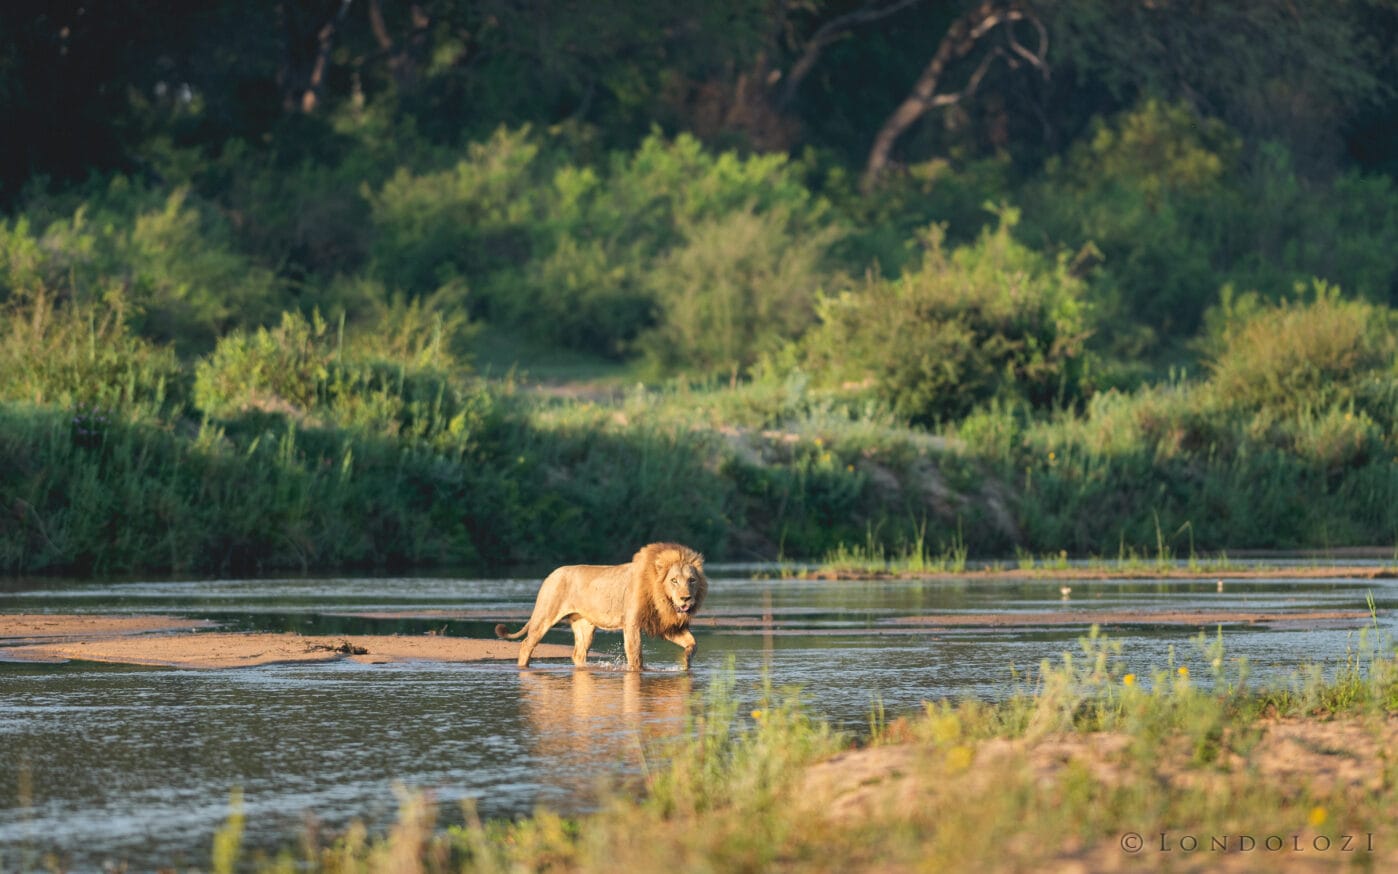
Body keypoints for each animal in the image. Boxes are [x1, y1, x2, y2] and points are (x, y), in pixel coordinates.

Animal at [494, 542, 710, 671]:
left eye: (691, 580)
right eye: (674, 580)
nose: (685, 598)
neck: (662, 597)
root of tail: (550, 575)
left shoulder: (665, 625)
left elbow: (693, 643)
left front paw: (686, 662)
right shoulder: (632, 624)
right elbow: (636, 655)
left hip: (585, 628)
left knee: (578, 654)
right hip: (544, 617)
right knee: (526, 645)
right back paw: (523, 668)